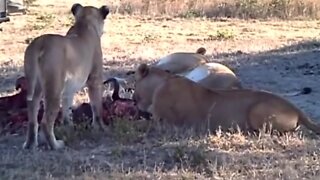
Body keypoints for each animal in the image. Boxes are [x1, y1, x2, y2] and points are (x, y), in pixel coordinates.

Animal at [22, 3, 110, 150]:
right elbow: (97, 107)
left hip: (35, 87)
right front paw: (101, 128)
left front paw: (69, 128)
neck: (84, 23)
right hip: (54, 88)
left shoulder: (69, 90)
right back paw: (56, 145)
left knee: (32, 118)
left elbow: (67, 110)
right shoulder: (95, 79)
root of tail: (39, 44)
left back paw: (30, 144)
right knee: (46, 122)